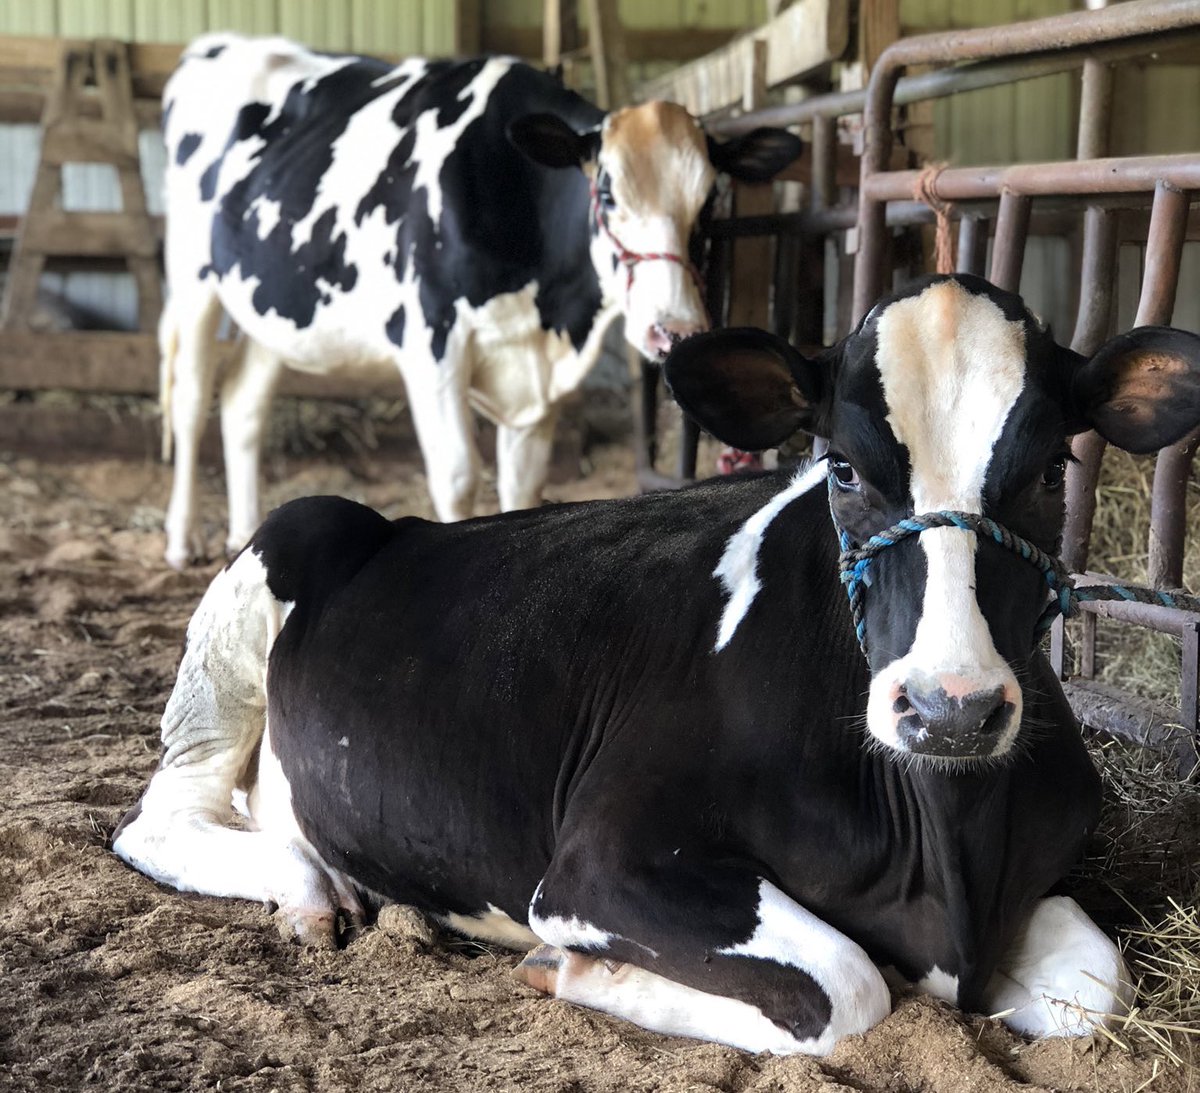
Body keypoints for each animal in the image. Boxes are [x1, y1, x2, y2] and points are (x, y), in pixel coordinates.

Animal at [113, 274, 1200, 1054]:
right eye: (843, 468)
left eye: (1050, 469)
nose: (950, 709)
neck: (946, 853)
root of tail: (398, 524)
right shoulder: (603, 864)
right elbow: (846, 987)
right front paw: (577, 972)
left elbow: (1095, 986)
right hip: (270, 567)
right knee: (164, 816)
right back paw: (307, 890)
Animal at [157, 34, 802, 569]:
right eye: (606, 192)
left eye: (709, 201)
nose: (675, 329)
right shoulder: (431, 341)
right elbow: (458, 476)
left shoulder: (539, 377)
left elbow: (522, 487)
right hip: (193, 281)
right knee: (190, 400)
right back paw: (180, 541)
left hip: (270, 306)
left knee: (242, 404)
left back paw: (242, 536)